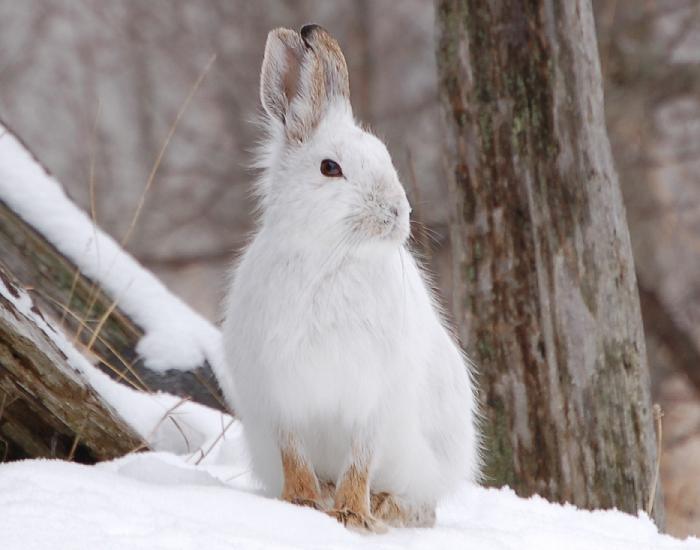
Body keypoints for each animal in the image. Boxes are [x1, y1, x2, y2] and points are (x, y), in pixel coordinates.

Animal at [220, 24, 482, 536]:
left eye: (385, 157)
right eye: (330, 168)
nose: (397, 214)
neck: (331, 258)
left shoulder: (375, 396)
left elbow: (361, 458)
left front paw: (352, 516)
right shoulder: (278, 392)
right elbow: (293, 451)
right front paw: (301, 502)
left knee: (425, 507)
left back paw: (386, 507)